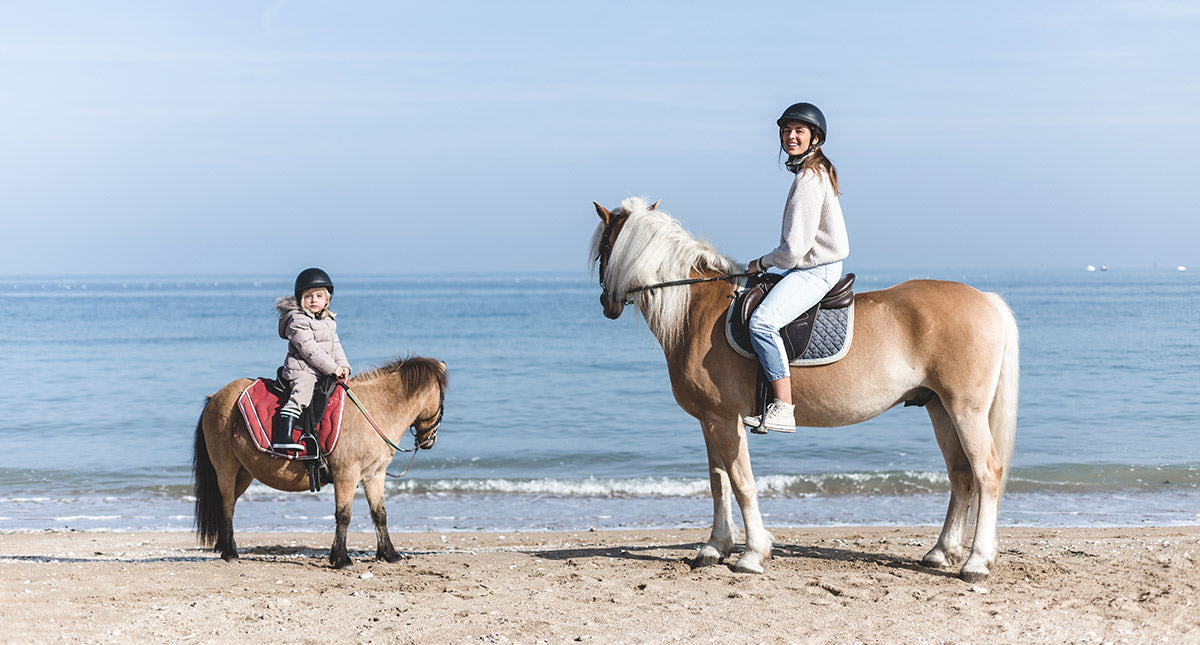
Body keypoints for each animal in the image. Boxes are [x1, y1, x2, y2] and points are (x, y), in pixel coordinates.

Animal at [192, 354, 446, 565]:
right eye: (443, 398)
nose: (430, 440)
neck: (375, 408)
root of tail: (215, 398)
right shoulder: (346, 474)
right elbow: (343, 515)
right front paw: (341, 559)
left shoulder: (375, 475)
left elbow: (380, 514)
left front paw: (390, 554)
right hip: (226, 468)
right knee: (227, 504)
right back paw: (230, 553)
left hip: (244, 472)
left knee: (230, 504)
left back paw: (226, 547)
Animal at [588, 196, 1012, 582]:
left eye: (604, 247)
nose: (606, 303)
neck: (698, 310)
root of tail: (986, 300)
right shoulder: (709, 420)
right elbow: (718, 481)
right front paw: (715, 547)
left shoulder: (724, 420)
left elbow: (741, 483)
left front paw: (753, 553)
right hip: (939, 407)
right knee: (960, 474)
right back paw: (941, 552)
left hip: (965, 409)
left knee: (986, 472)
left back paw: (976, 563)